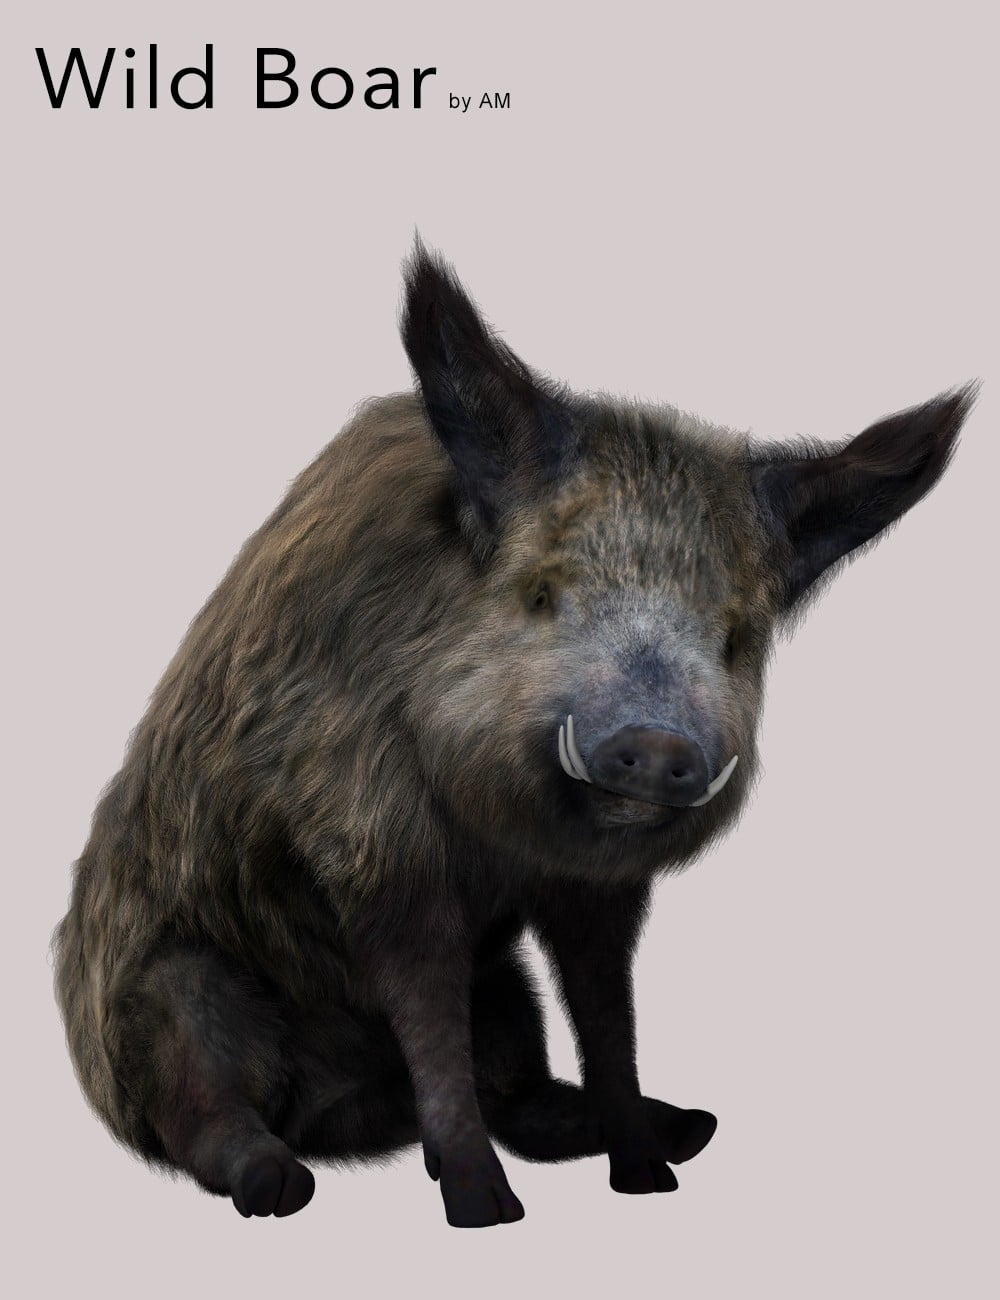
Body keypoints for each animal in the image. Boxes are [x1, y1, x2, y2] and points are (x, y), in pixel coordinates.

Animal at [53, 242, 976, 1228]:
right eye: (542, 592)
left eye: (736, 635)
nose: (658, 743)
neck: (507, 844)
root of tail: (343, 1117)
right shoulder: (372, 846)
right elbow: (430, 1017)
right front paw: (486, 1212)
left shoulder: (598, 892)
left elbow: (607, 1014)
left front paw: (648, 1180)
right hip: (173, 998)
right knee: (205, 1109)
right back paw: (283, 1186)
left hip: (505, 993)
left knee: (524, 1090)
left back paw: (691, 1126)